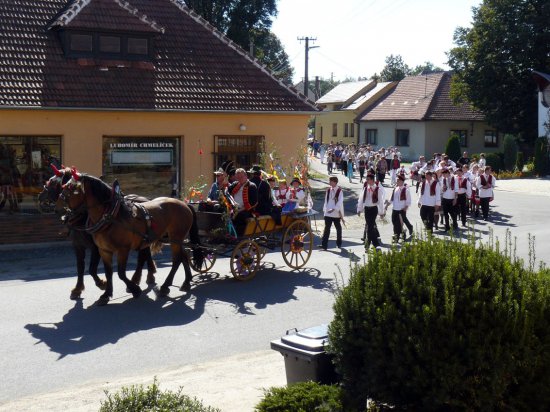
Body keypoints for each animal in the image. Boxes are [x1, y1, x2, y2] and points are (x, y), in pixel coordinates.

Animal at [54, 168, 203, 306]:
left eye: (71, 187)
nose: (58, 208)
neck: (111, 216)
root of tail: (184, 203)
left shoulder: (122, 250)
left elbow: (120, 273)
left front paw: (134, 289)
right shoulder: (103, 250)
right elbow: (108, 272)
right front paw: (106, 294)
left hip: (176, 238)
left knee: (176, 260)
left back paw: (165, 286)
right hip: (176, 238)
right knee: (184, 256)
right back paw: (186, 282)